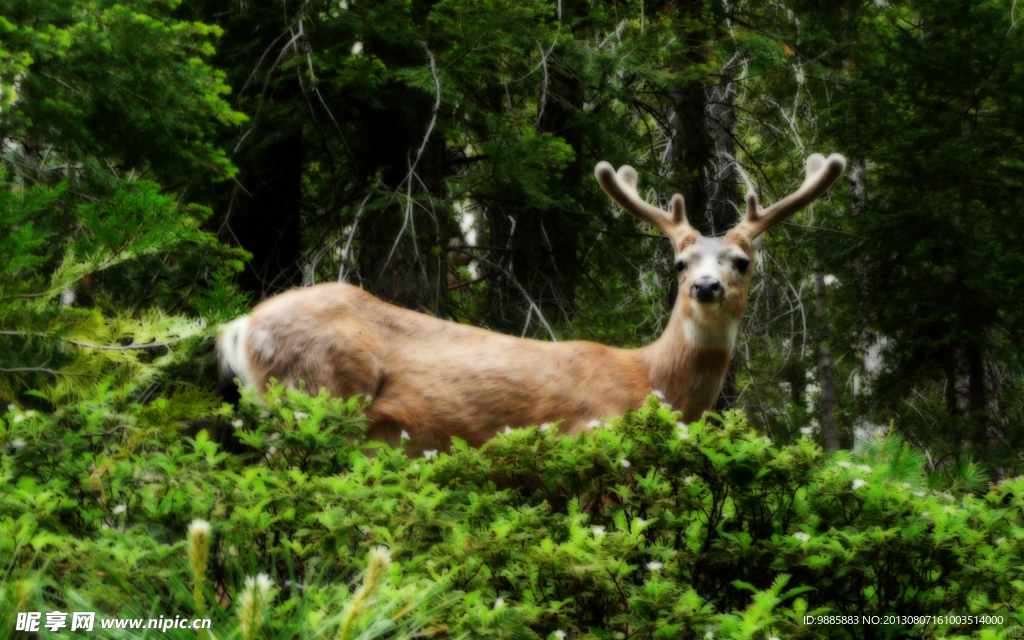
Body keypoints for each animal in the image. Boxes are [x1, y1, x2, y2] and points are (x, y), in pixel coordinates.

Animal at [220, 152, 843, 452]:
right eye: (679, 263)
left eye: (741, 261)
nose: (705, 287)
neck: (650, 381)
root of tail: (240, 326)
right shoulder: (589, 436)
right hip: (312, 394)